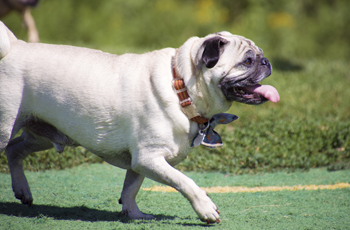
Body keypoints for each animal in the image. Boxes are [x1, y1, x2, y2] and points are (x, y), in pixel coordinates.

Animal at [0, 20, 278, 224]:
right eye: (247, 61)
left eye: (261, 56)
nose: (267, 62)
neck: (182, 87)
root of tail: (15, 46)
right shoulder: (149, 158)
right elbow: (185, 182)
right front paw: (205, 208)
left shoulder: (140, 162)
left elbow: (130, 189)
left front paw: (133, 214)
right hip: (6, 126)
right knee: (9, 146)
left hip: (42, 137)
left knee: (15, 150)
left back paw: (22, 190)